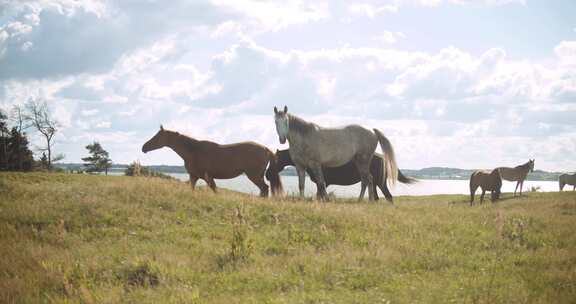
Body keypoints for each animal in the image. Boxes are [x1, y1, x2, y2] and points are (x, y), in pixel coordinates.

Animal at [142, 126, 282, 197]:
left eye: (157, 137)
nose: (144, 147)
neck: (193, 150)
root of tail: (265, 148)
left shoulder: (207, 177)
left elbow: (214, 190)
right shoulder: (194, 176)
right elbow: (193, 188)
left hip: (253, 175)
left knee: (264, 188)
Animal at [268, 149, 416, 202]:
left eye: (274, 159)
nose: (268, 175)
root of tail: (383, 158)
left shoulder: (322, 182)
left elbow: (320, 195)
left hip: (380, 182)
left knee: (389, 196)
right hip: (374, 184)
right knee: (377, 197)